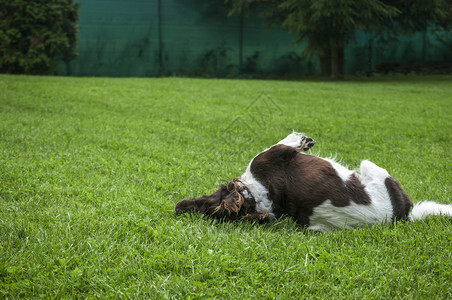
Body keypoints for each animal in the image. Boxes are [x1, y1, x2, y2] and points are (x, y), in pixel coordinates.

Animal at [176, 132, 452, 232]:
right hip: (371, 167)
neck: (257, 196)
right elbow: (286, 143)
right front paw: (302, 140)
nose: (179, 207)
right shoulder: (266, 157)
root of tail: (403, 215)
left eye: (204, 202)